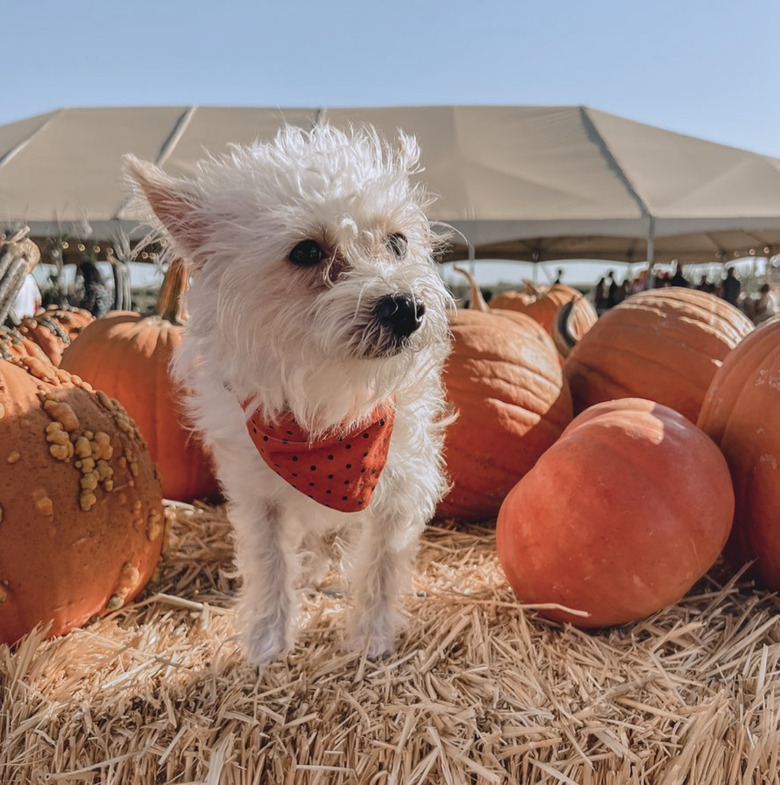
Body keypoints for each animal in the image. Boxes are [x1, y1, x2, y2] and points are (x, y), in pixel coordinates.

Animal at [125, 125, 454, 664]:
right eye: (306, 252)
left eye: (397, 242)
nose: (407, 308)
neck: (327, 413)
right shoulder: (260, 499)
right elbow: (272, 565)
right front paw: (268, 643)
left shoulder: (400, 490)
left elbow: (381, 567)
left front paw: (372, 638)